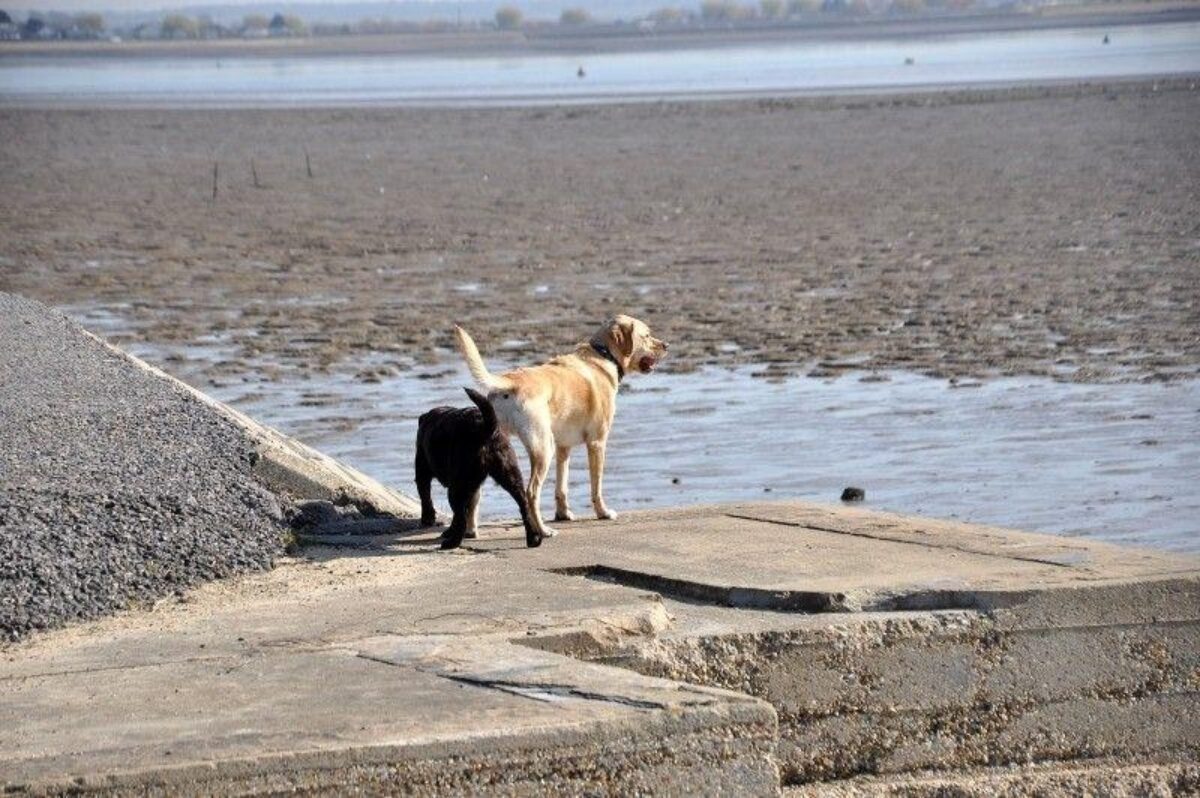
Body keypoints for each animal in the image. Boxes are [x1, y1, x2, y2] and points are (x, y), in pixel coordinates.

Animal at [412, 386, 544, 547]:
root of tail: (485, 428)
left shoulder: (422, 472)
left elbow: (426, 498)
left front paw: (428, 519)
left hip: (456, 486)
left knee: (460, 517)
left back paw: (452, 543)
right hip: (510, 475)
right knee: (523, 505)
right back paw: (533, 538)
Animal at [453, 314, 672, 532]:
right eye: (646, 335)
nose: (667, 345)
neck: (603, 355)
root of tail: (511, 380)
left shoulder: (563, 448)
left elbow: (562, 486)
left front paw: (563, 514)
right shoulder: (597, 443)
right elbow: (596, 486)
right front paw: (603, 512)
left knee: (474, 492)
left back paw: (471, 531)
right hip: (543, 448)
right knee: (531, 492)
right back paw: (542, 530)